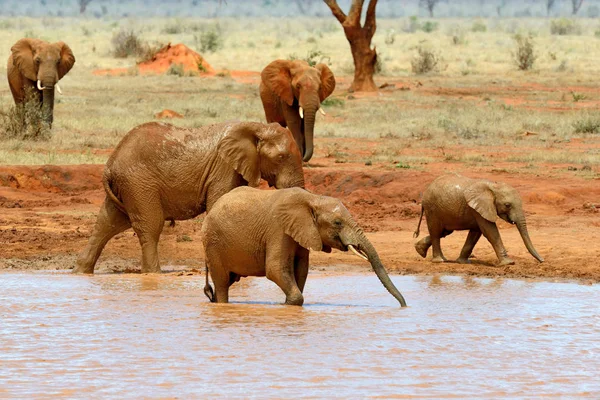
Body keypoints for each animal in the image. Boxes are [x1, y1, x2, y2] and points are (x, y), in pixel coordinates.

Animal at [74, 120, 304, 274]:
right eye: (281, 157)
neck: (256, 126)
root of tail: (110, 163)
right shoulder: (223, 168)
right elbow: (218, 204)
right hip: (139, 184)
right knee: (150, 226)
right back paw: (154, 274)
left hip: (127, 187)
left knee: (107, 223)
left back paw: (81, 271)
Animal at [203, 187, 408, 306]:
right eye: (337, 223)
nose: (404, 306)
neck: (312, 199)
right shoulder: (278, 229)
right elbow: (275, 269)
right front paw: (288, 305)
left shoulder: (303, 232)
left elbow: (301, 270)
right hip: (213, 242)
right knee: (222, 282)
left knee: (228, 280)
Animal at [414, 174, 548, 266]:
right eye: (507, 205)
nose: (542, 261)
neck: (493, 186)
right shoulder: (478, 208)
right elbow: (490, 231)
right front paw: (509, 263)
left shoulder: (478, 210)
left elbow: (475, 233)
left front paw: (463, 262)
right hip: (432, 209)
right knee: (436, 232)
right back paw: (440, 260)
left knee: (444, 232)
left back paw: (419, 250)